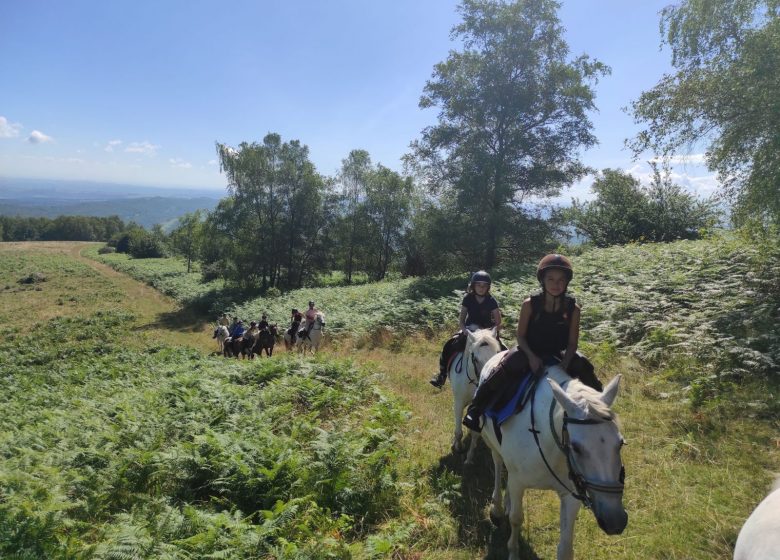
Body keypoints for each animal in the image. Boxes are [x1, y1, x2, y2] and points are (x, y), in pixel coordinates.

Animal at [448, 326, 502, 462]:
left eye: (497, 353)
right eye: (476, 359)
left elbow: (475, 433)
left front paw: (469, 457)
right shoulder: (458, 403)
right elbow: (458, 432)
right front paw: (458, 446)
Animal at [478, 360, 632, 556]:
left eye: (620, 443)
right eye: (576, 447)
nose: (615, 521)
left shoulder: (571, 495)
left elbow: (565, 547)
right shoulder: (518, 482)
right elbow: (516, 518)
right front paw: (513, 551)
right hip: (491, 443)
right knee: (498, 465)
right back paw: (497, 508)